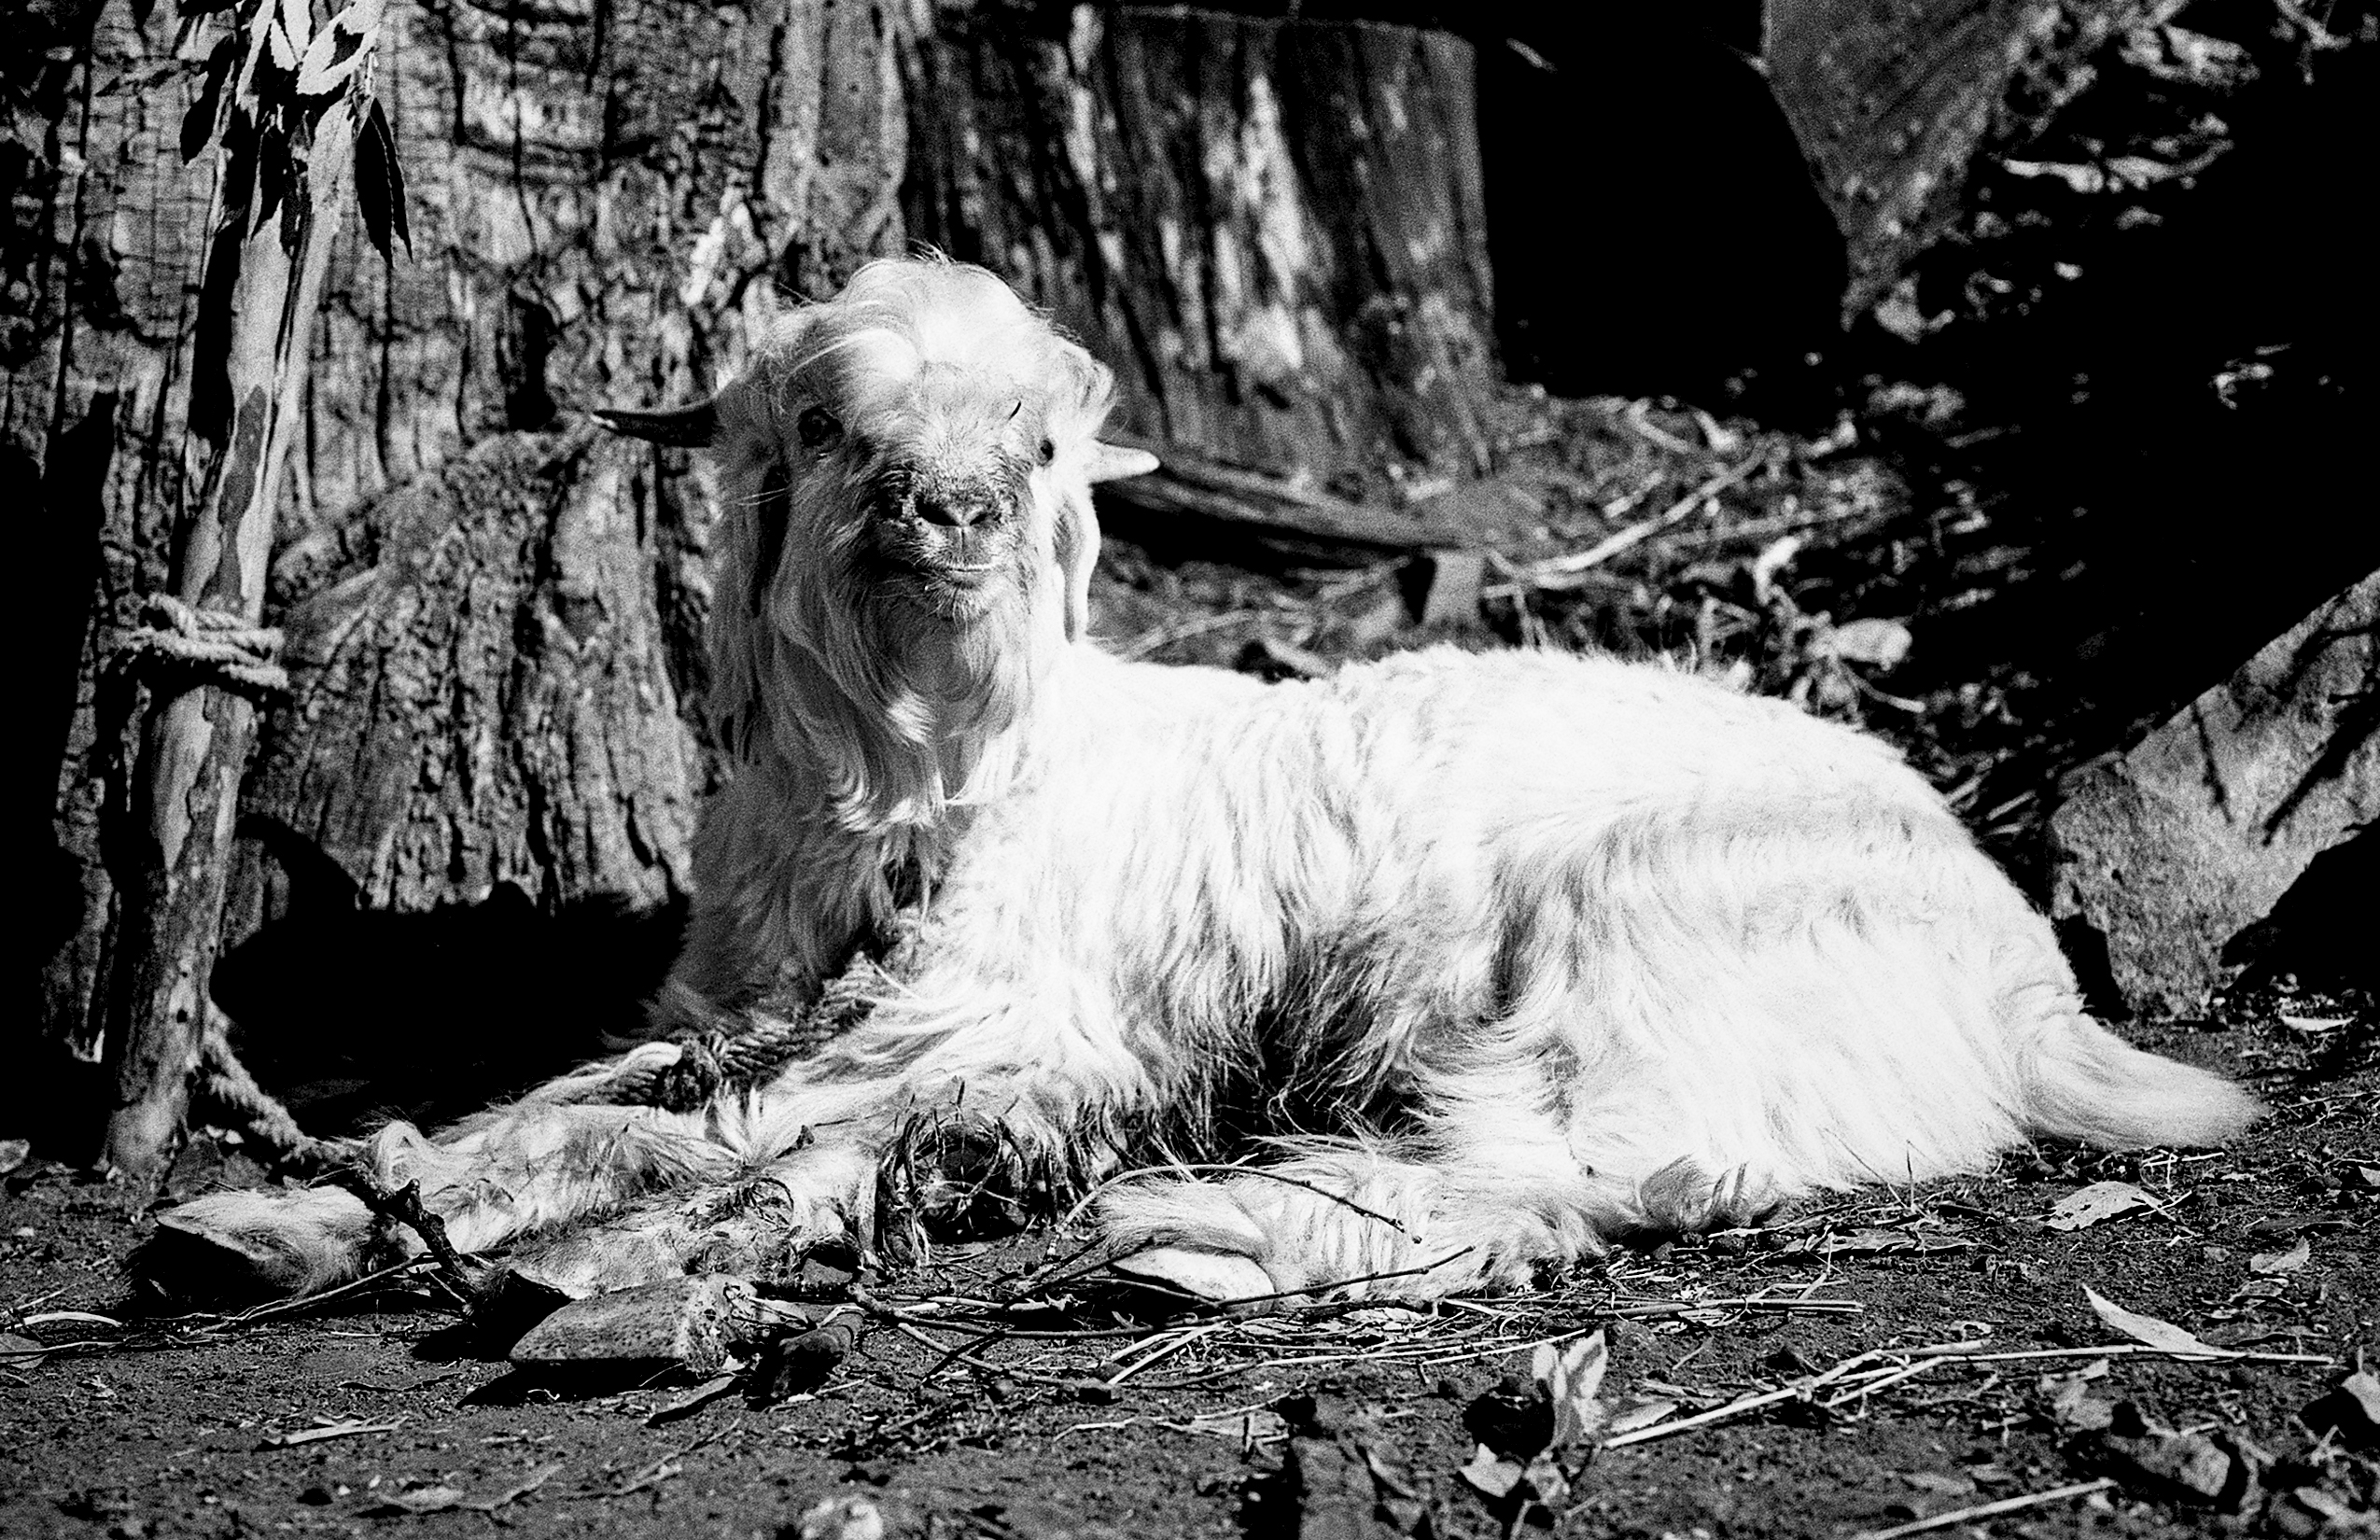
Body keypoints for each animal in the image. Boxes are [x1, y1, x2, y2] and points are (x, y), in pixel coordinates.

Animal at [141, 256, 2257, 1308]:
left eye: (1042, 440)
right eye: (816, 426)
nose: (949, 511)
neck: (924, 789)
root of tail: (2030, 983)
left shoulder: (1011, 1017)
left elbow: (690, 1134)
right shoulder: (751, 1000)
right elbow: (572, 1107)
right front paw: (276, 1221)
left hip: (1641, 949)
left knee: (1589, 1177)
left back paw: (1201, 1235)